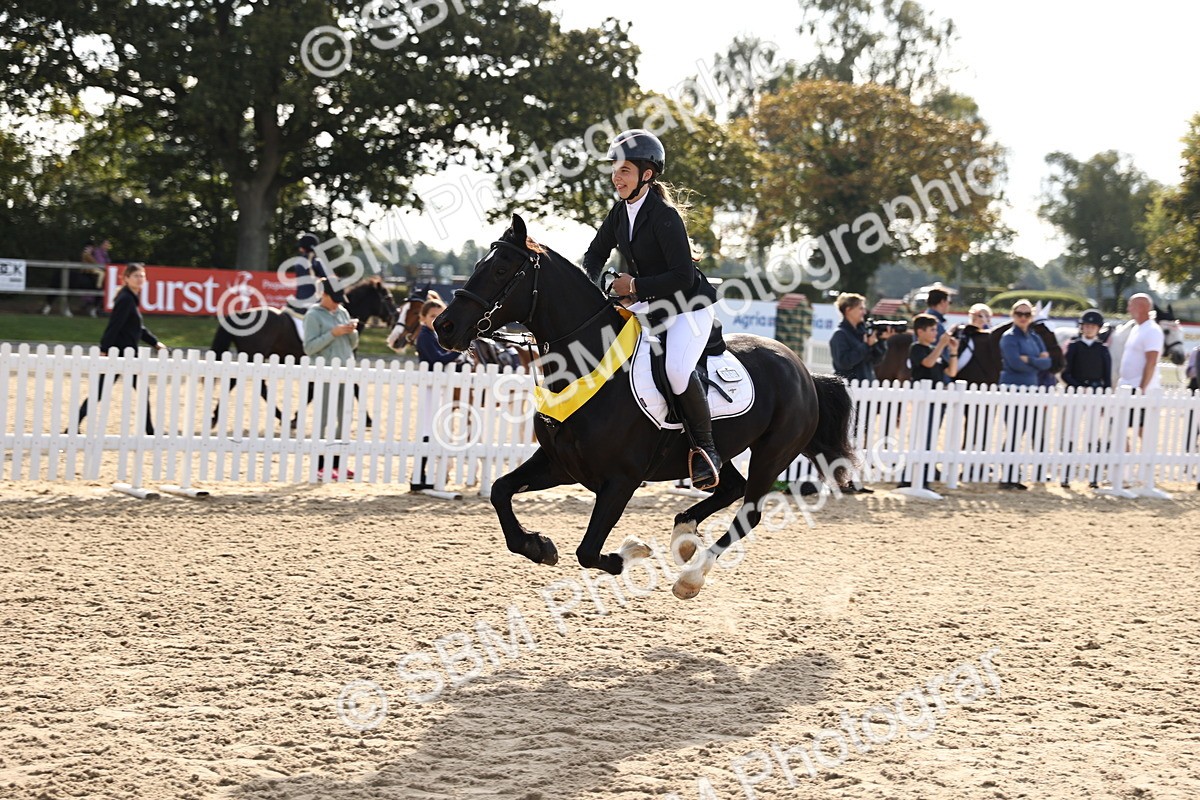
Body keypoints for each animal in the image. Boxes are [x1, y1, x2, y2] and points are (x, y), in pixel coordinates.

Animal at [207, 280, 396, 427]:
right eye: (388, 298)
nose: (395, 317)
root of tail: (240, 315)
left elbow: (313, 392)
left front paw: (295, 418)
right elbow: (354, 388)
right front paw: (369, 419)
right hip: (252, 356)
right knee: (247, 384)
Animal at [432, 214, 856, 599]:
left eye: (501, 269)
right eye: (477, 266)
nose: (444, 327)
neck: (587, 361)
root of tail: (803, 370)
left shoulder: (621, 479)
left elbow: (588, 552)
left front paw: (632, 551)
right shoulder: (560, 465)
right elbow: (500, 491)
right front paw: (538, 546)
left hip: (773, 453)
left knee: (748, 511)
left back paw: (690, 577)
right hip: (719, 451)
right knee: (729, 485)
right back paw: (684, 536)